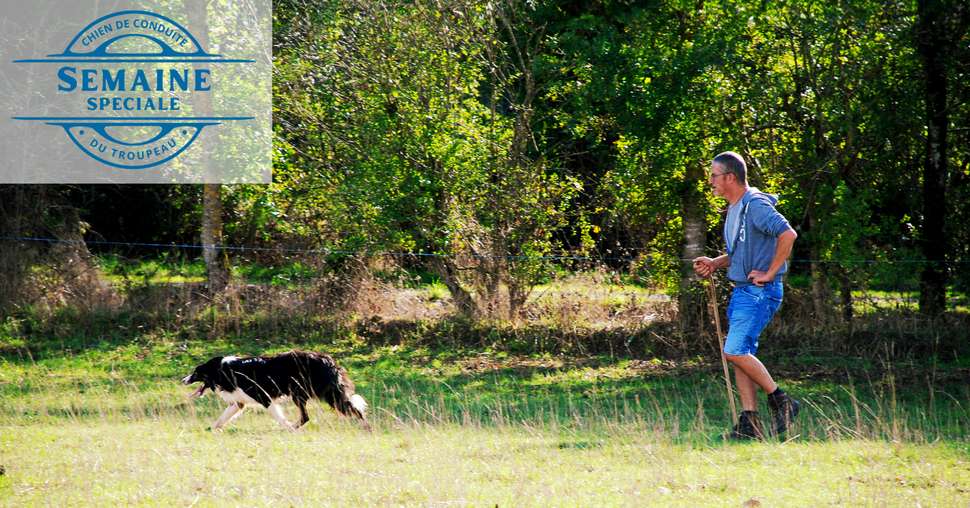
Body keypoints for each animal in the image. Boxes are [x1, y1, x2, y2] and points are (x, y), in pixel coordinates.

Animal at [181, 352, 366, 430]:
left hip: (317, 395)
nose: (183, 380)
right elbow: (221, 418)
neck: (222, 369)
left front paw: (286, 426)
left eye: (196, 373)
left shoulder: (264, 397)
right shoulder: (238, 403)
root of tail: (328, 360)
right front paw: (212, 428)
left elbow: (279, 417)